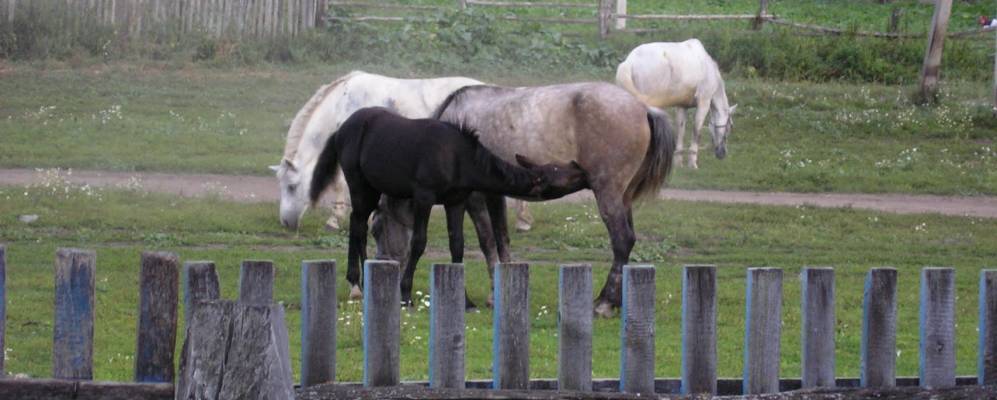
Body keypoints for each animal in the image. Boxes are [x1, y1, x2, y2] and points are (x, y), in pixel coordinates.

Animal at [306, 108, 584, 304]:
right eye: (559, 173)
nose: (581, 168)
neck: (460, 158)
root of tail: (340, 129)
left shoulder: (455, 201)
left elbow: (457, 245)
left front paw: (465, 299)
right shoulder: (424, 197)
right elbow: (418, 242)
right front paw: (405, 293)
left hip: (372, 188)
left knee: (358, 224)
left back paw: (359, 282)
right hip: (359, 183)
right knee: (358, 225)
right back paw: (358, 283)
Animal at [612, 40, 736, 170]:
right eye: (730, 126)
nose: (722, 153)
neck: (709, 69)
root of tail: (629, 62)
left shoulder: (682, 106)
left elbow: (680, 131)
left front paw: (678, 162)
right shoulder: (704, 102)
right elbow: (697, 131)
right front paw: (692, 163)